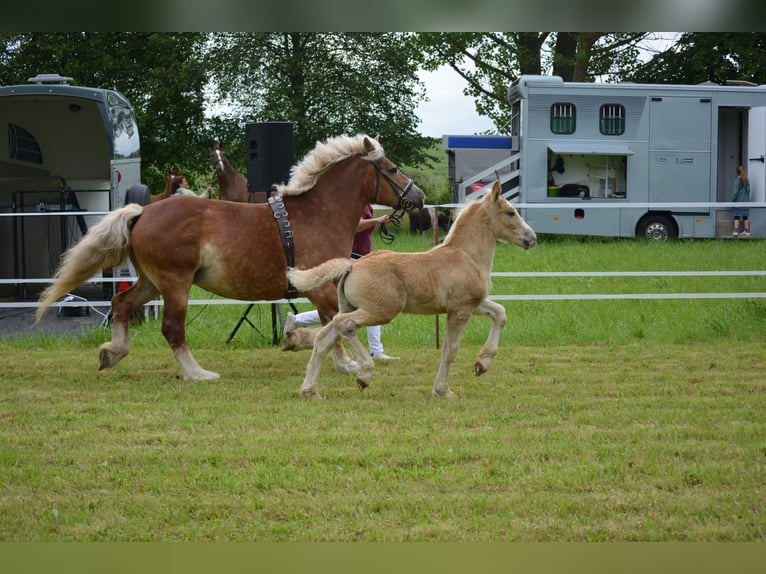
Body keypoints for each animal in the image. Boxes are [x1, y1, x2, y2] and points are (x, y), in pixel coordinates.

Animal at [36, 134, 425, 381]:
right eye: (391, 169)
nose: (418, 196)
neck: (317, 214)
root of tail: (142, 212)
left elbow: (332, 324)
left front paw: (304, 344)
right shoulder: (321, 289)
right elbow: (335, 324)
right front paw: (347, 366)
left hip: (151, 283)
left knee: (121, 304)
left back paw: (112, 353)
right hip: (175, 284)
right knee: (172, 328)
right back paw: (197, 374)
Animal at [287, 180, 537, 399]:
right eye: (510, 212)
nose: (531, 238)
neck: (467, 255)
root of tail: (352, 265)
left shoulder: (473, 304)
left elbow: (500, 313)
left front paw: (482, 364)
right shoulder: (460, 310)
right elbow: (451, 350)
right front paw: (444, 390)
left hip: (348, 306)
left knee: (324, 337)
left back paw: (309, 391)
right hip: (381, 311)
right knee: (344, 325)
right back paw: (364, 374)